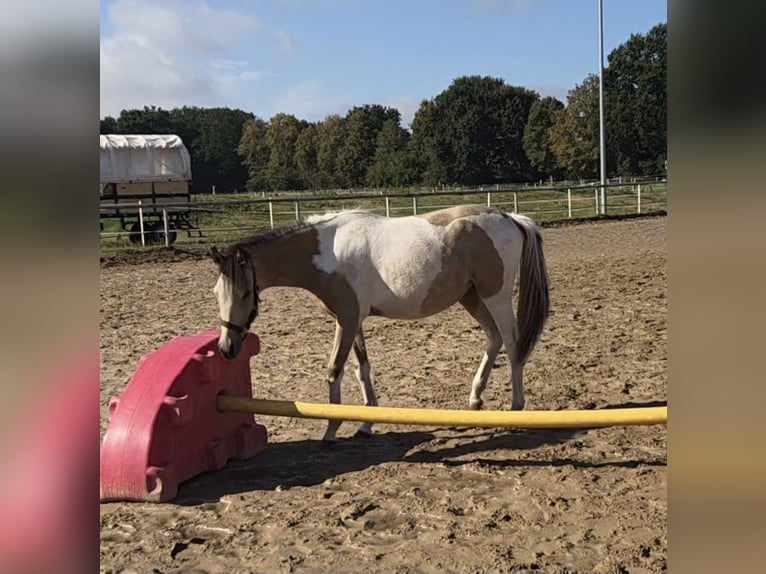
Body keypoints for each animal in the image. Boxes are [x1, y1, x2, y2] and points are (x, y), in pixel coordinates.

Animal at [210, 204, 549, 442]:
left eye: (243, 293)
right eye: (216, 292)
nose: (227, 348)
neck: (327, 252)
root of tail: (510, 217)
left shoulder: (346, 320)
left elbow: (334, 370)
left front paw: (331, 429)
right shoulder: (353, 321)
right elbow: (362, 369)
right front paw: (365, 423)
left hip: (496, 297)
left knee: (512, 343)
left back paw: (516, 407)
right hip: (472, 298)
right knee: (493, 338)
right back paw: (475, 398)